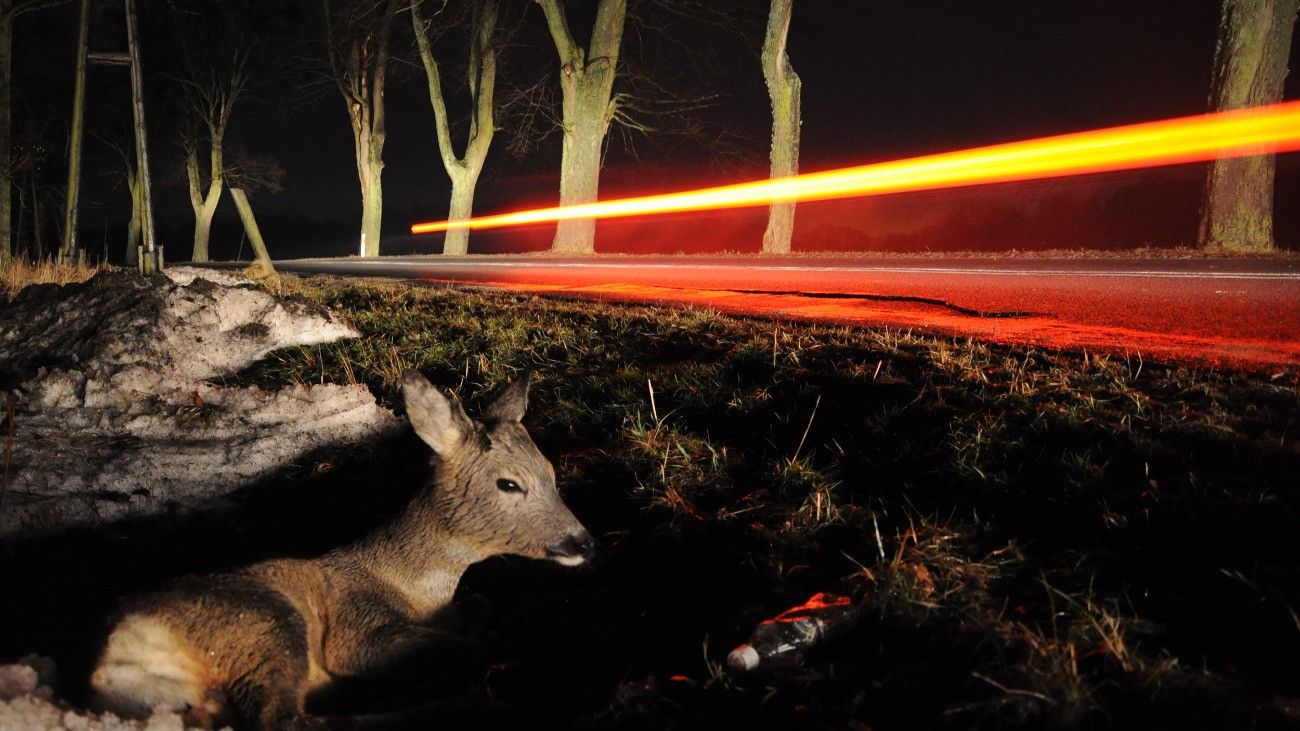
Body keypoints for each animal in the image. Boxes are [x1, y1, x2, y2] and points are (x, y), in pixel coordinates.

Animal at [89, 369, 594, 728]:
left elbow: (482, 605)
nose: (583, 543)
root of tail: (115, 652)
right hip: (264, 625)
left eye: (552, 472)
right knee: (283, 720)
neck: (411, 587)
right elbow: (467, 645)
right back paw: (460, 707)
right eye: (509, 483)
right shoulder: (356, 630)